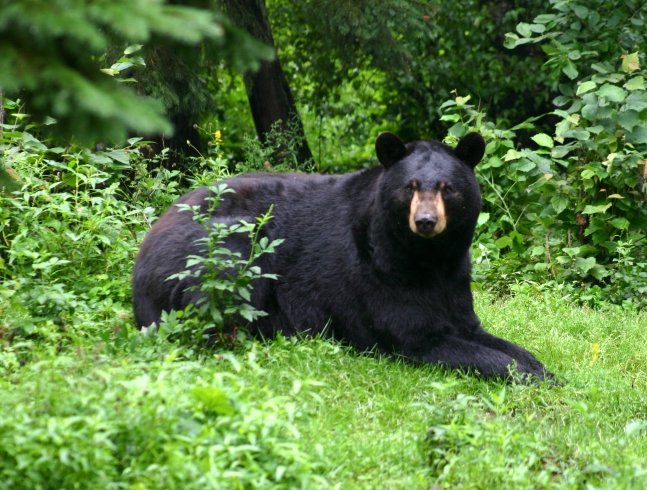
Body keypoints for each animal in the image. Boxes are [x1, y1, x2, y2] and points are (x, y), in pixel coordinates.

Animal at [132, 132, 552, 380]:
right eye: (410, 186)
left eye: (447, 188)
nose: (426, 221)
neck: (427, 257)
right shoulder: (380, 274)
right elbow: (417, 333)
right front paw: (528, 374)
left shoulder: (454, 276)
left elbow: (477, 330)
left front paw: (540, 366)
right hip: (220, 247)